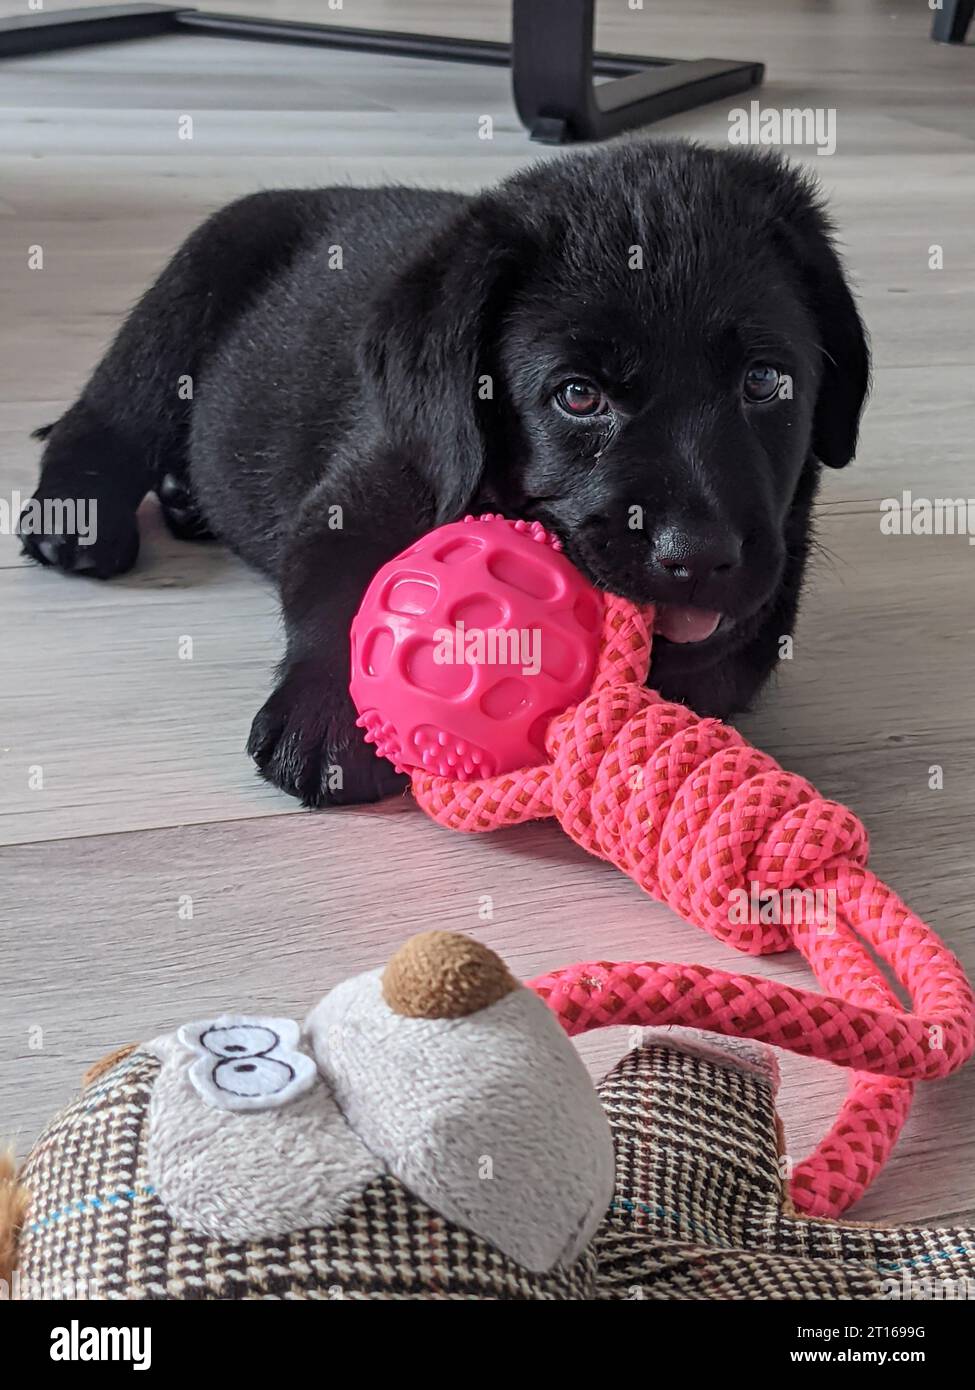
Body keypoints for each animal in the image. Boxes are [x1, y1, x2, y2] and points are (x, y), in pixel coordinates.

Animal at [24, 139, 867, 806]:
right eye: (577, 395)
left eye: (763, 382)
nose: (695, 557)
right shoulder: (358, 491)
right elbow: (340, 591)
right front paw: (326, 719)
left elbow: (717, 665)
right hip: (189, 288)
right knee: (105, 415)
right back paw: (78, 518)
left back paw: (184, 498)